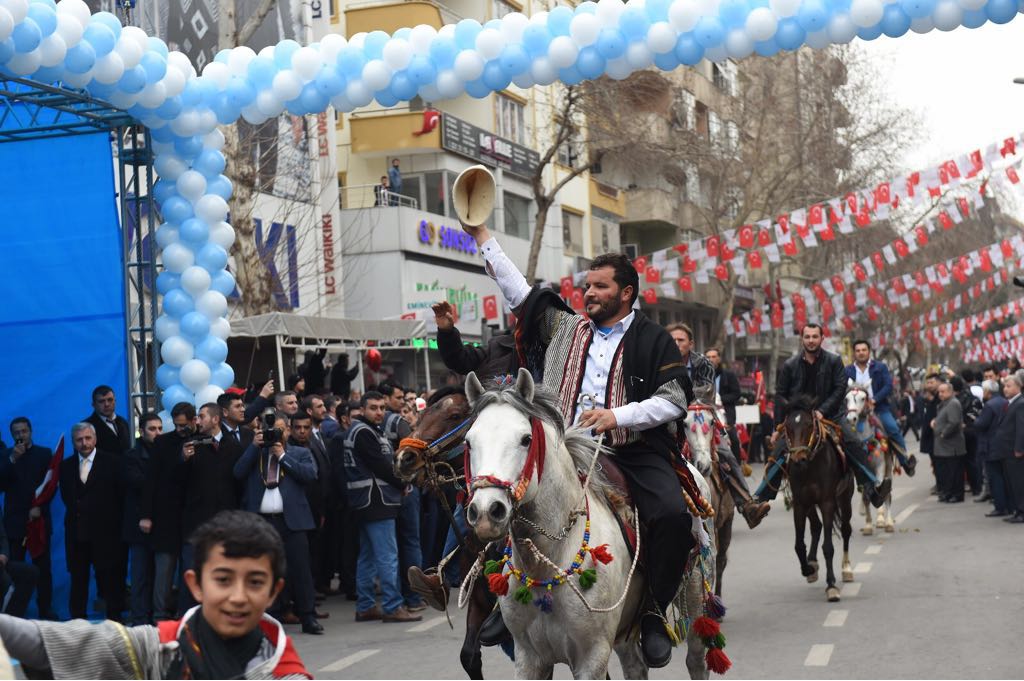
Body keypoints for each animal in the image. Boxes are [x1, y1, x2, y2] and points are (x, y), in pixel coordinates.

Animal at [466, 368, 720, 675]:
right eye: (468, 442)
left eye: (525, 439)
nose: (486, 512)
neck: (548, 560)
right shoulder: (528, 657)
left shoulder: (591, 656)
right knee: (636, 667)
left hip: (695, 593)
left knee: (696, 659)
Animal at [782, 395, 856, 602]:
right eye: (788, 427)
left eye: (809, 424)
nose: (798, 459)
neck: (810, 466)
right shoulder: (800, 503)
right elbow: (799, 545)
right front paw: (807, 568)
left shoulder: (827, 502)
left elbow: (828, 547)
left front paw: (831, 585)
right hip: (810, 504)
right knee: (816, 526)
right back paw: (812, 563)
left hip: (845, 498)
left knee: (846, 529)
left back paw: (846, 569)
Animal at [847, 382, 897, 532]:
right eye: (846, 399)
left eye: (863, 398)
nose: (851, 418)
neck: (866, 443)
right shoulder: (859, 470)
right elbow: (865, 493)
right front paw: (868, 524)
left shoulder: (880, 465)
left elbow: (879, 485)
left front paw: (884, 520)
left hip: (888, 466)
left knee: (886, 491)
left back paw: (886, 521)